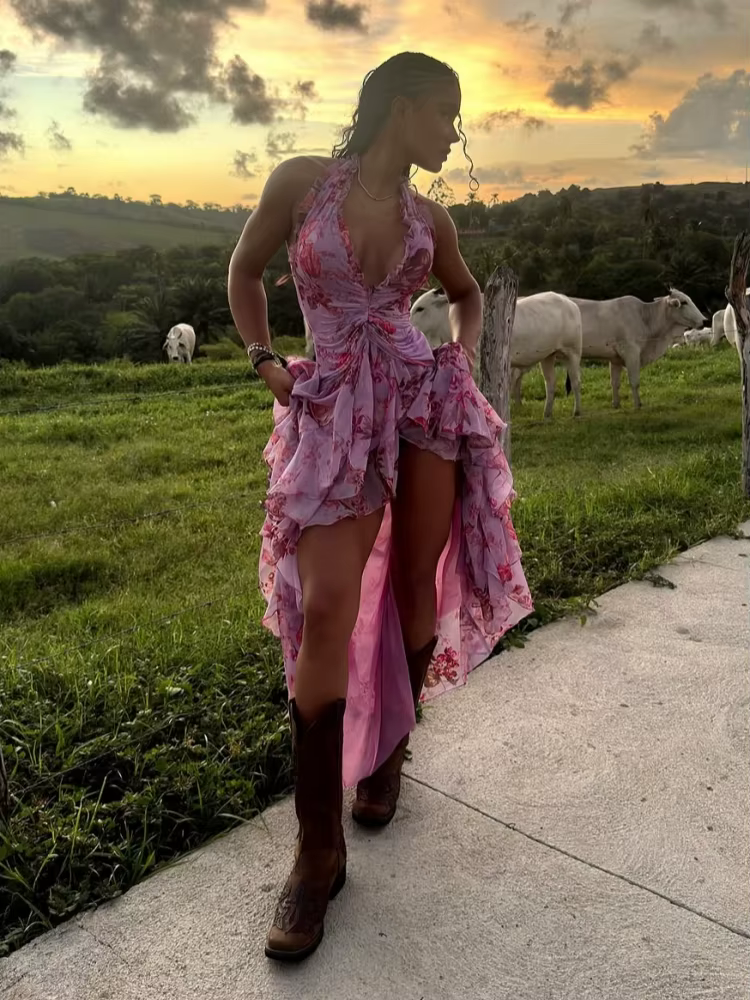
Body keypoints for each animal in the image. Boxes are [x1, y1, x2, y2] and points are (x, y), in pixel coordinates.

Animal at [409, 288, 583, 418]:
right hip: (547, 356)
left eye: (420, 308)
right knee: (550, 383)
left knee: (575, 382)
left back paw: (577, 412)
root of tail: (569, 302)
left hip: (573, 353)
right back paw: (547, 414)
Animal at [569, 288, 705, 409]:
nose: (704, 320)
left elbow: (615, 383)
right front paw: (638, 405)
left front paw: (616, 404)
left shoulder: (615, 359)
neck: (644, 318)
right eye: (684, 302)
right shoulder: (631, 352)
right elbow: (634, 382)